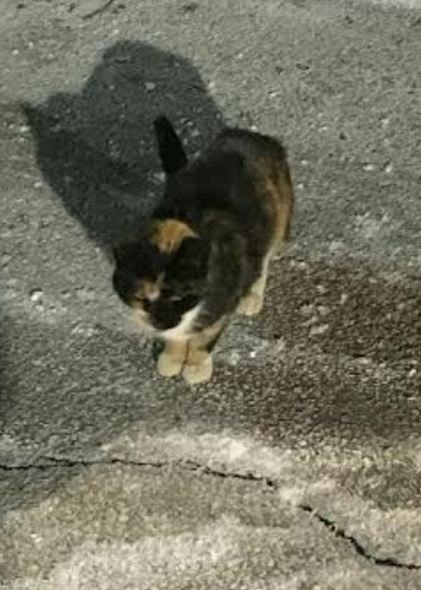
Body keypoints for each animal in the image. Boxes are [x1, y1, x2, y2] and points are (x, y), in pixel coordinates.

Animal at [113, 117, 294, 386]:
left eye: (178, 298)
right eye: (143, 299)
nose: (163, 323)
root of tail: (250, 135)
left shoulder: (221, 301)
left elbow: (204, 339)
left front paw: (196, 367)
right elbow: (176, 337)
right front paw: (172, 358)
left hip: (278, 217)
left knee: (263, 258)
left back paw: (251, 295)